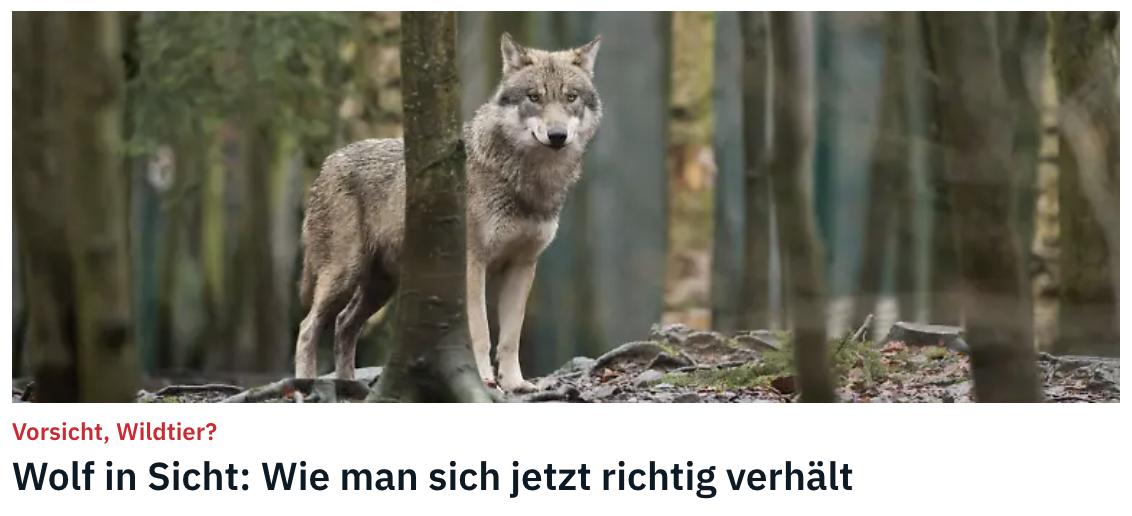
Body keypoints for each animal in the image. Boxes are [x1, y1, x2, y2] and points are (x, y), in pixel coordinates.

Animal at [293, 32, 603, 393]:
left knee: (344, 325)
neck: (526, 180)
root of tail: (327, 162)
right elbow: (481, 331)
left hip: (381, 287)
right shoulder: (472, 264)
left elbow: (510, 337)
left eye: (570, 97)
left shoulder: (523, 266)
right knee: (308, 327)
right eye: (534, 97)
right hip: (344, 275)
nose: (557, 136)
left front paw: (516, 384)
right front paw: (484, 380)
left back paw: (349, 387)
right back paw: (305, 385)